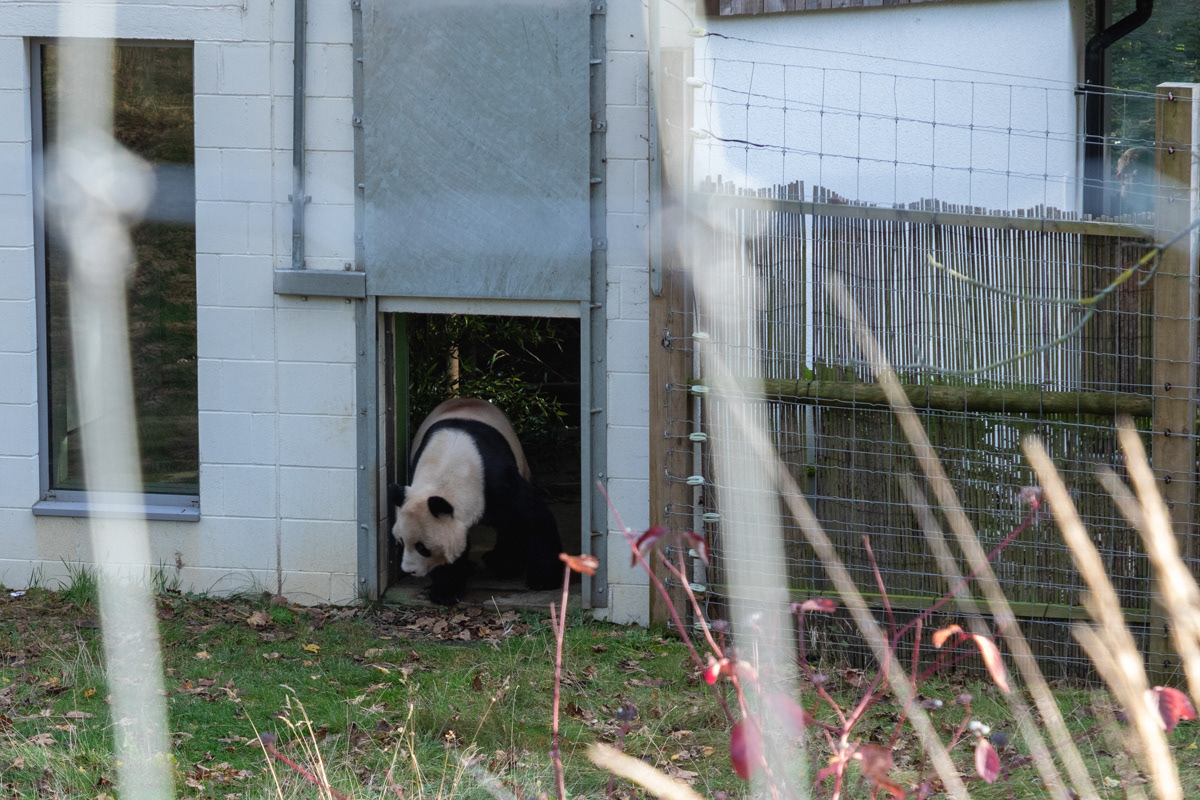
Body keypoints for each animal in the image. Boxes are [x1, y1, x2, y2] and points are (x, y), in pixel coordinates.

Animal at [388, 397, 562, 606]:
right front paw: (446, 591)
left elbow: (533, 521)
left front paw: (544, 580)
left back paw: (503, 564)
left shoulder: (496, 481)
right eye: (401, 541)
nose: (409, 570)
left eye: (422, 548)